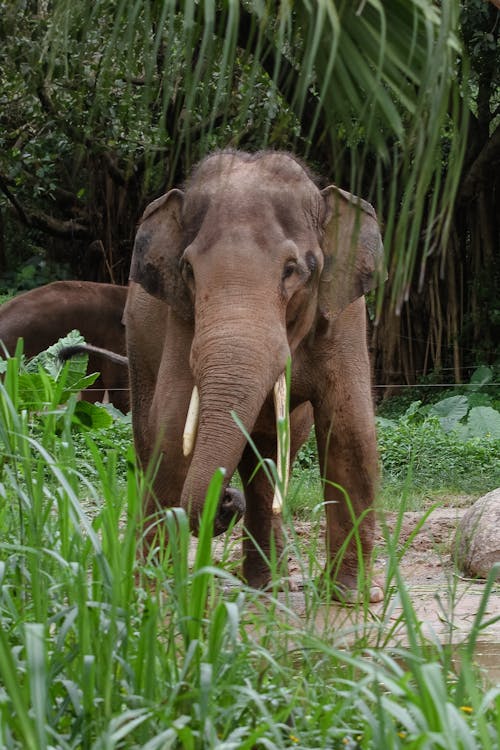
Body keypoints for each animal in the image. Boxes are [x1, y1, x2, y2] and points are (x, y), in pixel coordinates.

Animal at [126, 150, 386, 604]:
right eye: (188, 270)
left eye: (292, 269)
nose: (226, 501)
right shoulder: (182, 318)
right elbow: (172, 428)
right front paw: (154, 593)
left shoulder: (344, 316)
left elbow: (351, 429)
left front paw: (350, 597)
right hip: (136, 348)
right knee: (150, 440)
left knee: (269, 462)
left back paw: (273, 585)